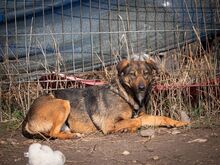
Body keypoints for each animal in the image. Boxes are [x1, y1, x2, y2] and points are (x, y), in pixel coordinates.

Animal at [21, 58, 189, 139]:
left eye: (146, 74)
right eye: (132, 74)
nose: (142, 87)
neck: (125, 95)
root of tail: (27, 119)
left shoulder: (143, 114)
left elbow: (161, 117)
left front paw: (178, 122)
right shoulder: (108, 124)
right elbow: (136, 121)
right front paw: (128, 127)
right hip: (63, 103)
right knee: (52, 133)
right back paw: (74, 136)